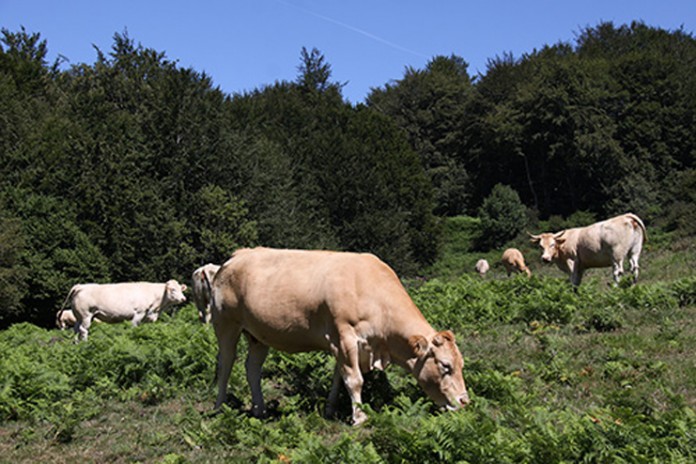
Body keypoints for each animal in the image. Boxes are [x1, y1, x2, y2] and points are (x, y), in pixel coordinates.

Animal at [59, 280, 187, 341]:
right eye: (173, 289)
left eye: (181, 289)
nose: (183, 298)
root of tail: (81, 286)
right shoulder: (138, 313)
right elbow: (134, 327)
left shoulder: (147, 317)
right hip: (86, 315)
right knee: (83, 330)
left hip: (79, 316)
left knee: (76, 329)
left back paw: (76, 344)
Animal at [208, 247, 470, 425]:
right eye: (445, 365)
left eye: (461, 365)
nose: (465, 402)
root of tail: (237, 255)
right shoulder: (345, 337)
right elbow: (354, 379)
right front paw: (359, 417)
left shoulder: (345, 345)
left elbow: (339, 377)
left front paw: (331, 409)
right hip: (226, 325)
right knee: (225, 364)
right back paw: (219, 407)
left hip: (258, 335)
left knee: (252, 368)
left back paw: (259, 409)